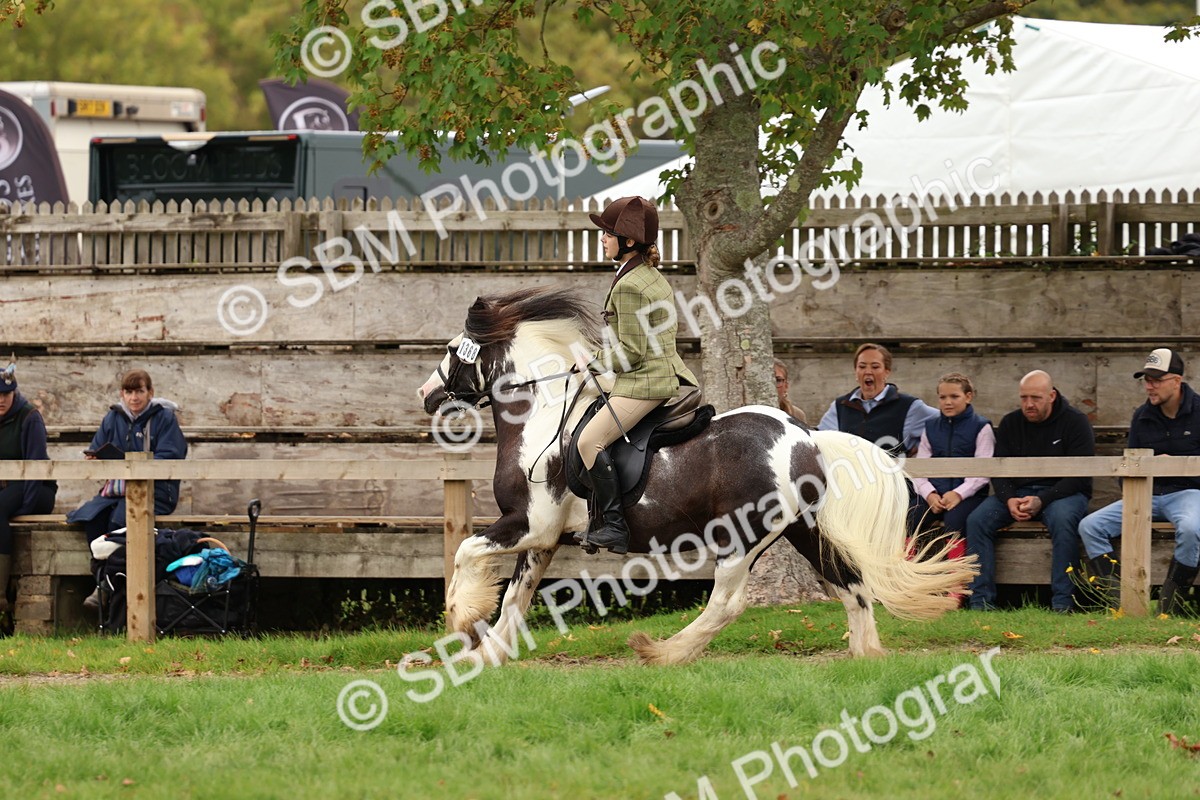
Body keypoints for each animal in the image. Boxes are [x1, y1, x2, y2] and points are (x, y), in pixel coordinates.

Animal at [418, 287, 977, 666]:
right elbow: (516, 597)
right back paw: (866, 657)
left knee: (728, 604)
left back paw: (661, 652)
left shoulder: (529, 524)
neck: (542, 414)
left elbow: (466, 553)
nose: (425, 394)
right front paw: (486, 655)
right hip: (804, 531)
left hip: (740, 539)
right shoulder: (544, 537)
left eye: (450, 349)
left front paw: (461, 620)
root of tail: (806, 437)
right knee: (852, 585)